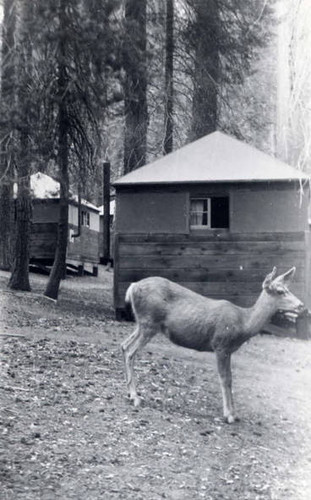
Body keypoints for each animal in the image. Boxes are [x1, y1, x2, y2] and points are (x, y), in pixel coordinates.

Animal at [121, 268, 304, 424]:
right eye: (280, 291)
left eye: (288, 288)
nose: (302, 305)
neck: (243, 323)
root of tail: (132, 287)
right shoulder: (221, 345)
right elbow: (225, 378)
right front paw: (229, 415)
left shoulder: (229, 350)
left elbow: (230, 378)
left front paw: (234, 413)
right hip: (149, 322)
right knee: (130, 351)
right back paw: (136, 397)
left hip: (143, 324)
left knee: (124, 345)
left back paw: (130, 393)